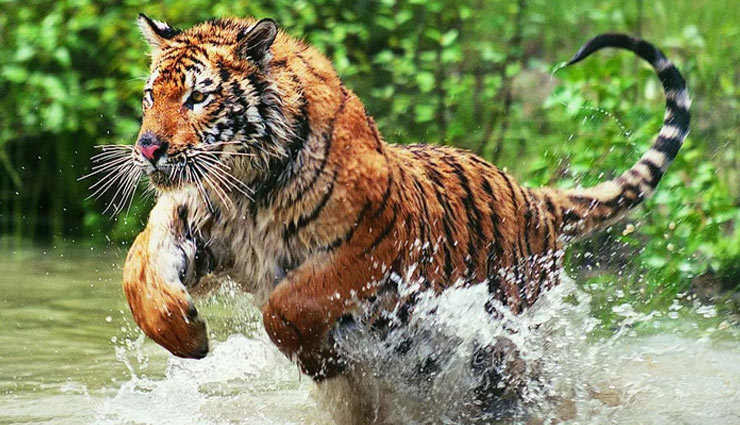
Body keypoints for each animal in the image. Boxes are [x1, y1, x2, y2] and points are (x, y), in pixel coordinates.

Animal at [114, 14, 689, 393]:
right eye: (150, 95)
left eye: (198, 98)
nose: (147, 148)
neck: (244, 186)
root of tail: (535, 198)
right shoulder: (190, 219)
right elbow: (137, 271)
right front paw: (186, 335)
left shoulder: (367, 249)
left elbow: (287, 305)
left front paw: (322, 363)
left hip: (511, 345)